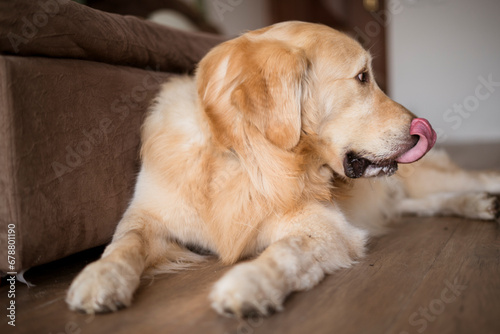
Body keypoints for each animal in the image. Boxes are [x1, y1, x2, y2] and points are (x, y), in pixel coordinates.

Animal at [65, 22, 500, 318]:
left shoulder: (326, 228)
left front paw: (249, 283)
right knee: (419, 205)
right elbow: (123, 244)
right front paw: (100, 277)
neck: (243, 157)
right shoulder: (145, 215)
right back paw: (479, 204)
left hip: (424, 177)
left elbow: (285, 251)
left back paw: (482, 198)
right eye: (362, 77)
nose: (423, 128)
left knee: (470, 180)